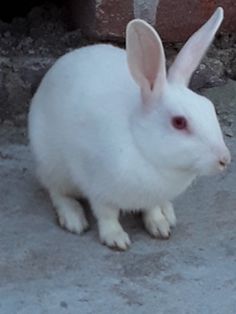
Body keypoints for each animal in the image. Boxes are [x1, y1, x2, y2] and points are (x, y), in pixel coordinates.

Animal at [28, 7, 230, 250]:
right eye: (179, 122)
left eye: (209, 107)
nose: (225, 159)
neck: (142, 147)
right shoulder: (98, 189)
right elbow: (107, 215)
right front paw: (116, 239)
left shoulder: (150, 197)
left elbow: (152, 210)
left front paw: (160, 226)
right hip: (52, 165)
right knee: (56, 191)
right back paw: (73, 219)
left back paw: (169, 213)